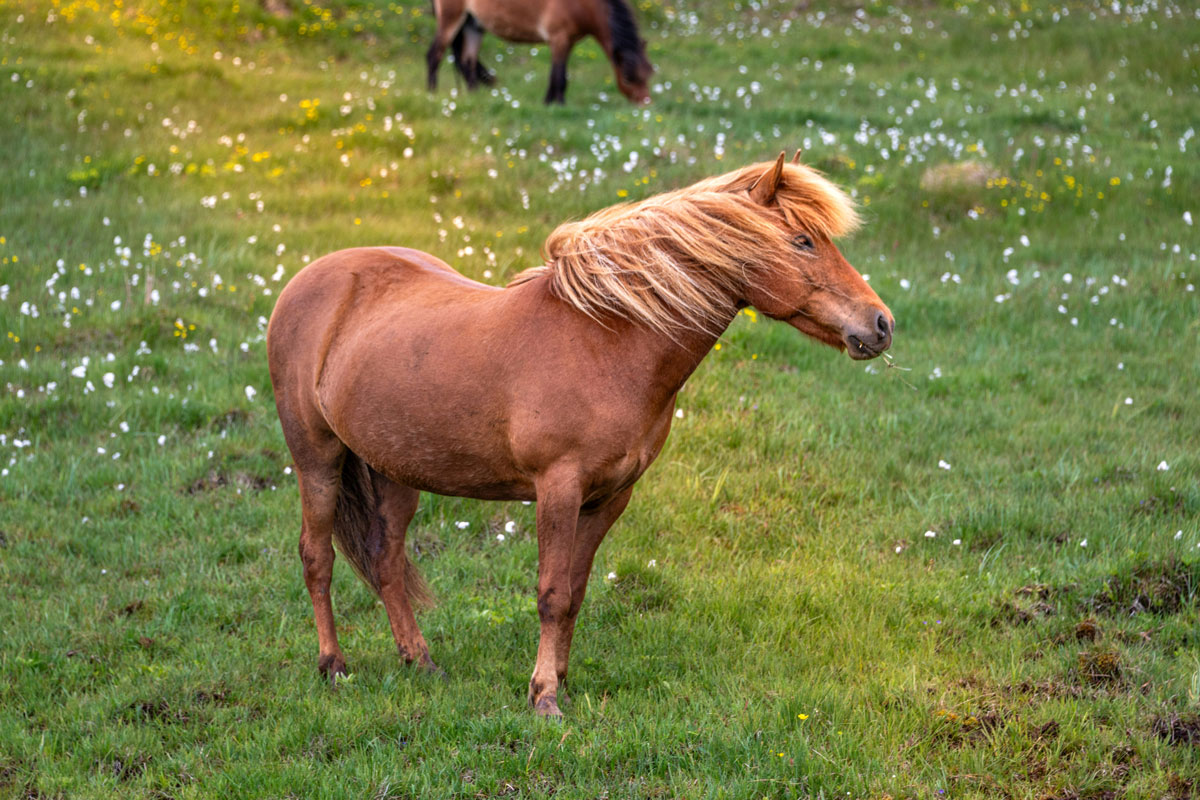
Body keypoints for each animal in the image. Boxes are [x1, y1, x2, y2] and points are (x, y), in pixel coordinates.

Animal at [266, 153, 894, 717]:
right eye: (803, 242)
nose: (881, 324)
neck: (608, 342)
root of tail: (307, 279)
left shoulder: (609, 497)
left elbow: (576, 594)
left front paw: (561, 681)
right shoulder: (557, 489)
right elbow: (551, 594)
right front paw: (544, 697)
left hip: (396, 469)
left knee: (387, 561)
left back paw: (420, 662)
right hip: (317, 458)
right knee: (317, 557)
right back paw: (334, 667)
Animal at [425, 0, 653, 104]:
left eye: (649, 74)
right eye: (627, 77)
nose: (645, 104)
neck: (582, 5)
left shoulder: (566, 43)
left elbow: (557, 76)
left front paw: (549, 103)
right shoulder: (559, 40)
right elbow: (559, 78)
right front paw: (558, 105)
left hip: (473, 25)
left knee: (468, 62)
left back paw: (475, 96)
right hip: (451, 19)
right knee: (434, 55)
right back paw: (431, 92)